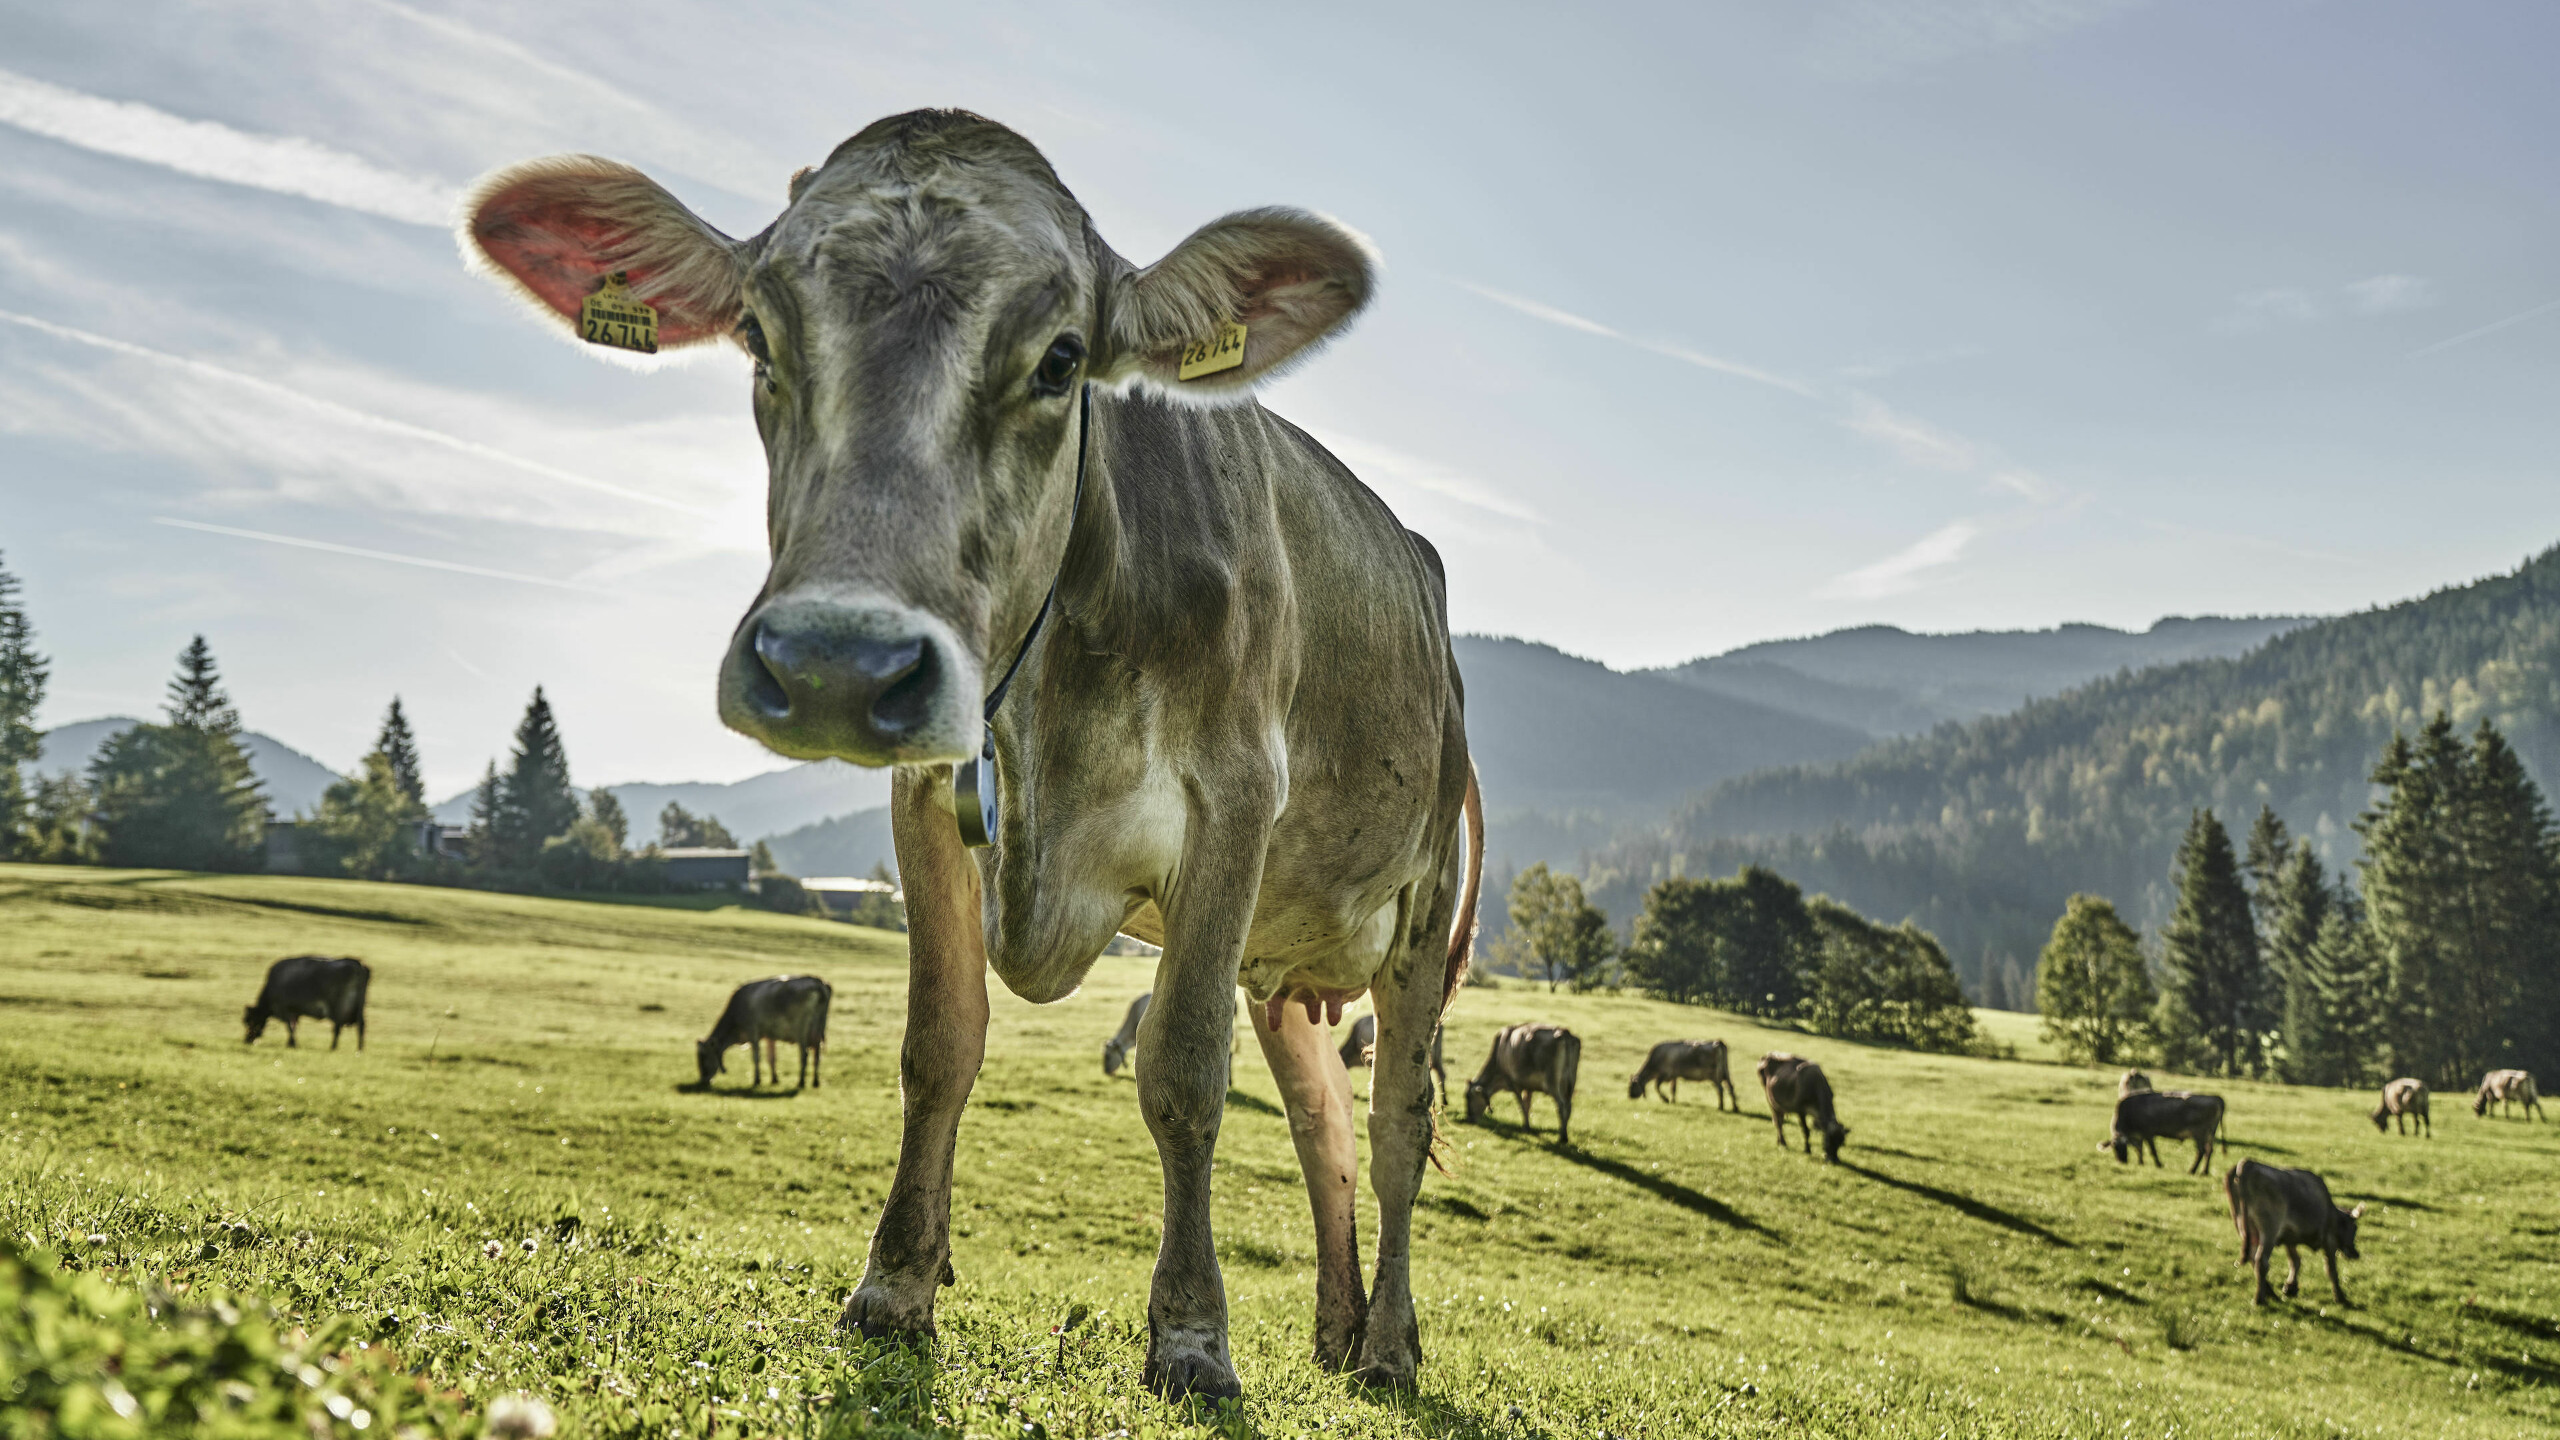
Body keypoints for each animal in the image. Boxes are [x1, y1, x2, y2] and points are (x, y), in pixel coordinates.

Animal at [240, 953, 368, 1040]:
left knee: (337, 1027)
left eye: (249, 1020)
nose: (247, 1040)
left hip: (338, 1009)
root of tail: (357, 964)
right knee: (360, 1027)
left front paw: (292, 1043)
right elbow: (293, 1026)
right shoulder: (294, 1012)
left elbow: (290, 1027)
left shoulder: (284, 1009)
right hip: (358, 1010)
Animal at [691, 973, 829, 1086]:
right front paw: (774, 1079)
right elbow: (771, 1058)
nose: (703, 1080)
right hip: (818, 1031)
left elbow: (756, 1056)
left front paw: (757, 1080)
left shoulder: (752, 1031)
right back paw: (815, 1082)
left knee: (804, 1055)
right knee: (817, 1056)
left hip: (801, 1031)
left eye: (704, 1056)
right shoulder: (769, 1035)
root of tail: (816, 981)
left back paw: (801, 1082)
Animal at [2222, 1153, 2355, 1301]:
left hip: (2245, 1227)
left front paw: (2290, 1287)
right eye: (2354, 1228)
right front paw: (2340, 1297)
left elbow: (2295, 1261)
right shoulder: (2329, 1240)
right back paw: (2260, 1299)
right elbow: (2331, 1269)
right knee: (2261, 1261)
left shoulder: (2289, 1238)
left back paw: (2271, 1294)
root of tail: (2249, 1164)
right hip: (2269, 1230)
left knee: (2253, 1257)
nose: (2356, 1254)